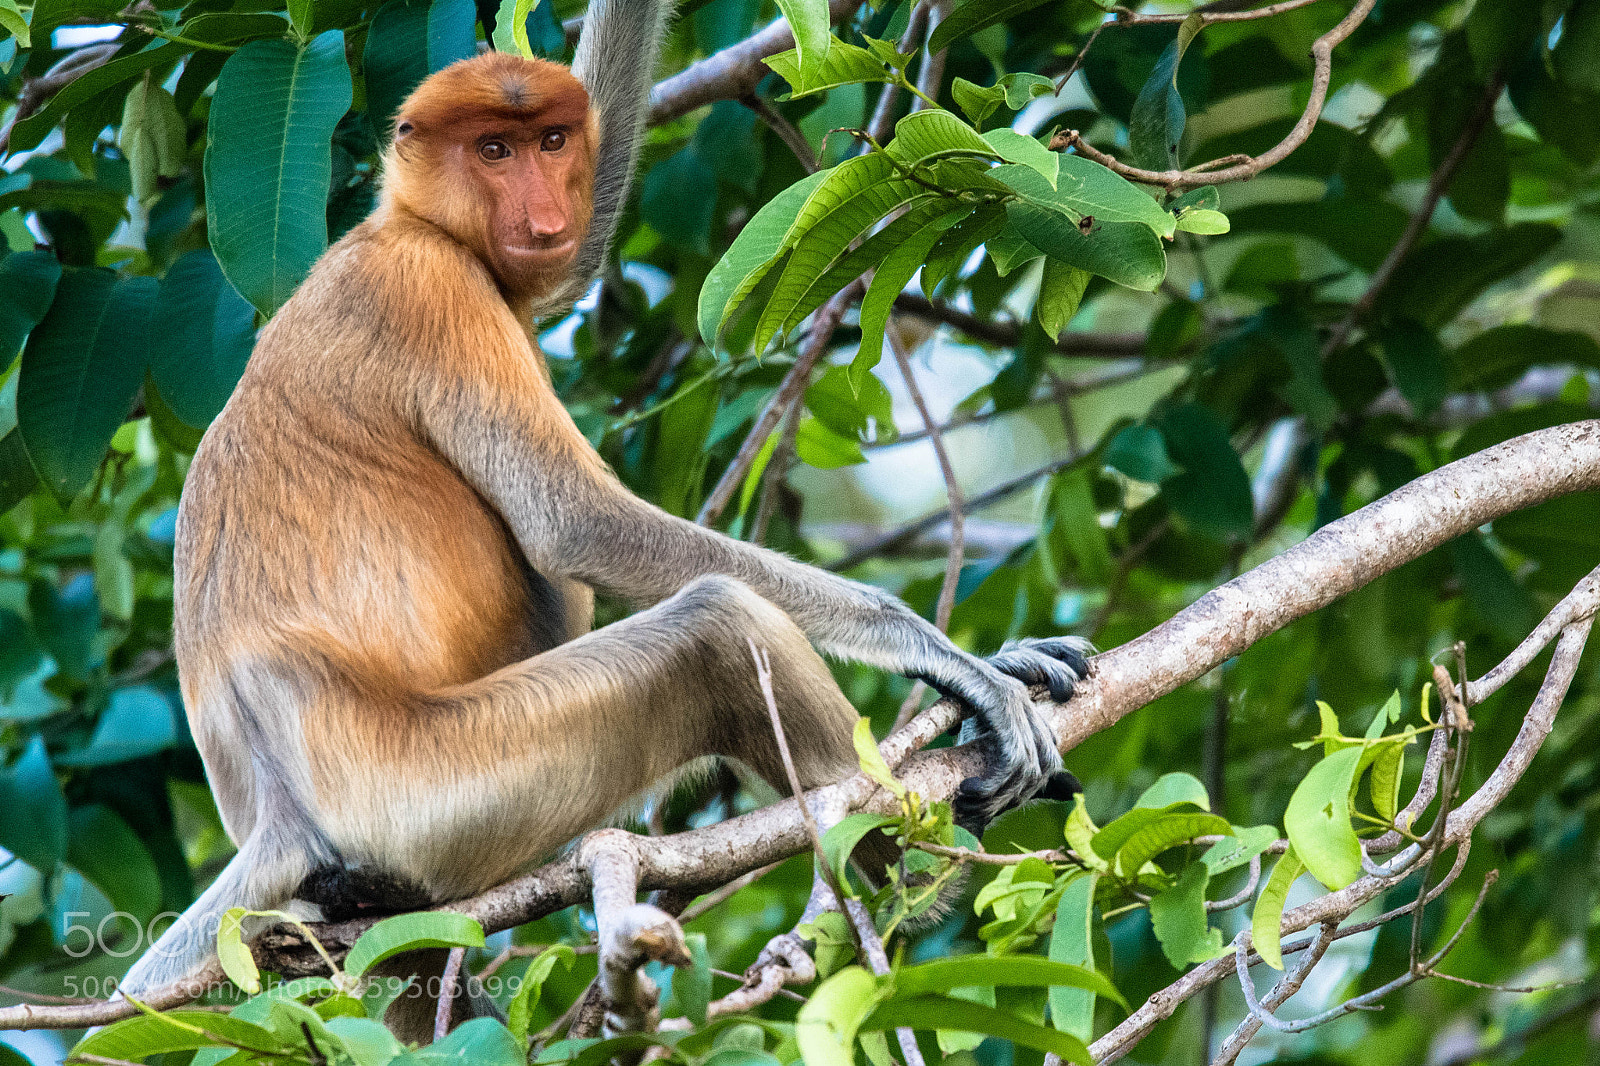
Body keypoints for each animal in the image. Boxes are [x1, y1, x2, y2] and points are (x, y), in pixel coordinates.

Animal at [116, 0, 1091, 1033]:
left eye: (550, 141)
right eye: (492, 150)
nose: (540, 210)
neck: (408, 224)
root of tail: (275, 815)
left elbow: (586, 225)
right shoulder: (428, 290)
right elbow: (572, 522)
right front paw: (953, 662)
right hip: (429, 789)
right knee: (716, 627)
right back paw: (910, 870)